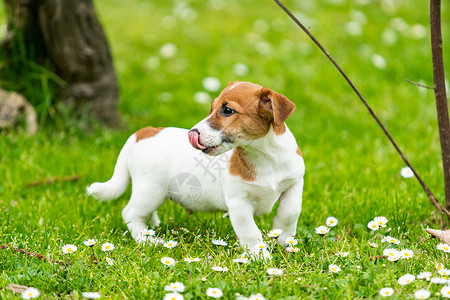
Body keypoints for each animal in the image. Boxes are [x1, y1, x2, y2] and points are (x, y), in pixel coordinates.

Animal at [87, 81, 306, 254]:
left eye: (227, 110)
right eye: (211, 107)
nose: (192, 133)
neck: (263, 156)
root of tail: (143, 132)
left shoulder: (294, 184)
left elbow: (290, 212)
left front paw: (285, 240)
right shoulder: (239, 203)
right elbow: (250, 232)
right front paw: (260, 256)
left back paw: (153, 226)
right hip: (150, 190)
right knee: (130, 213)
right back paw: (148, 239)